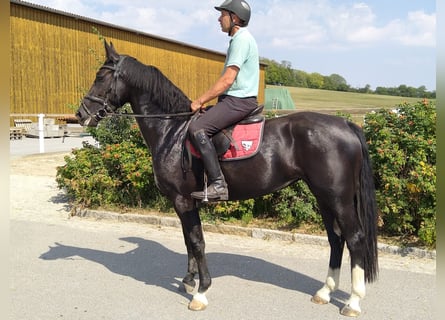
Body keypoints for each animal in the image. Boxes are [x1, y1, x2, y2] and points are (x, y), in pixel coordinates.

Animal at [77, 40, 378, 318]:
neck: (172, 131)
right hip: (324, 197)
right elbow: (188, 240)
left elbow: (197, 241)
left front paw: (201, 292)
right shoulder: (184, 202)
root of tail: (346, 124)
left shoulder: (182, 200)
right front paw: (189, 280)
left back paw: (353, 301)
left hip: (338, 198)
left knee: (354, 238)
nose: (81, 114)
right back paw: (325, 292)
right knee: (336, 239)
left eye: (101, 76)